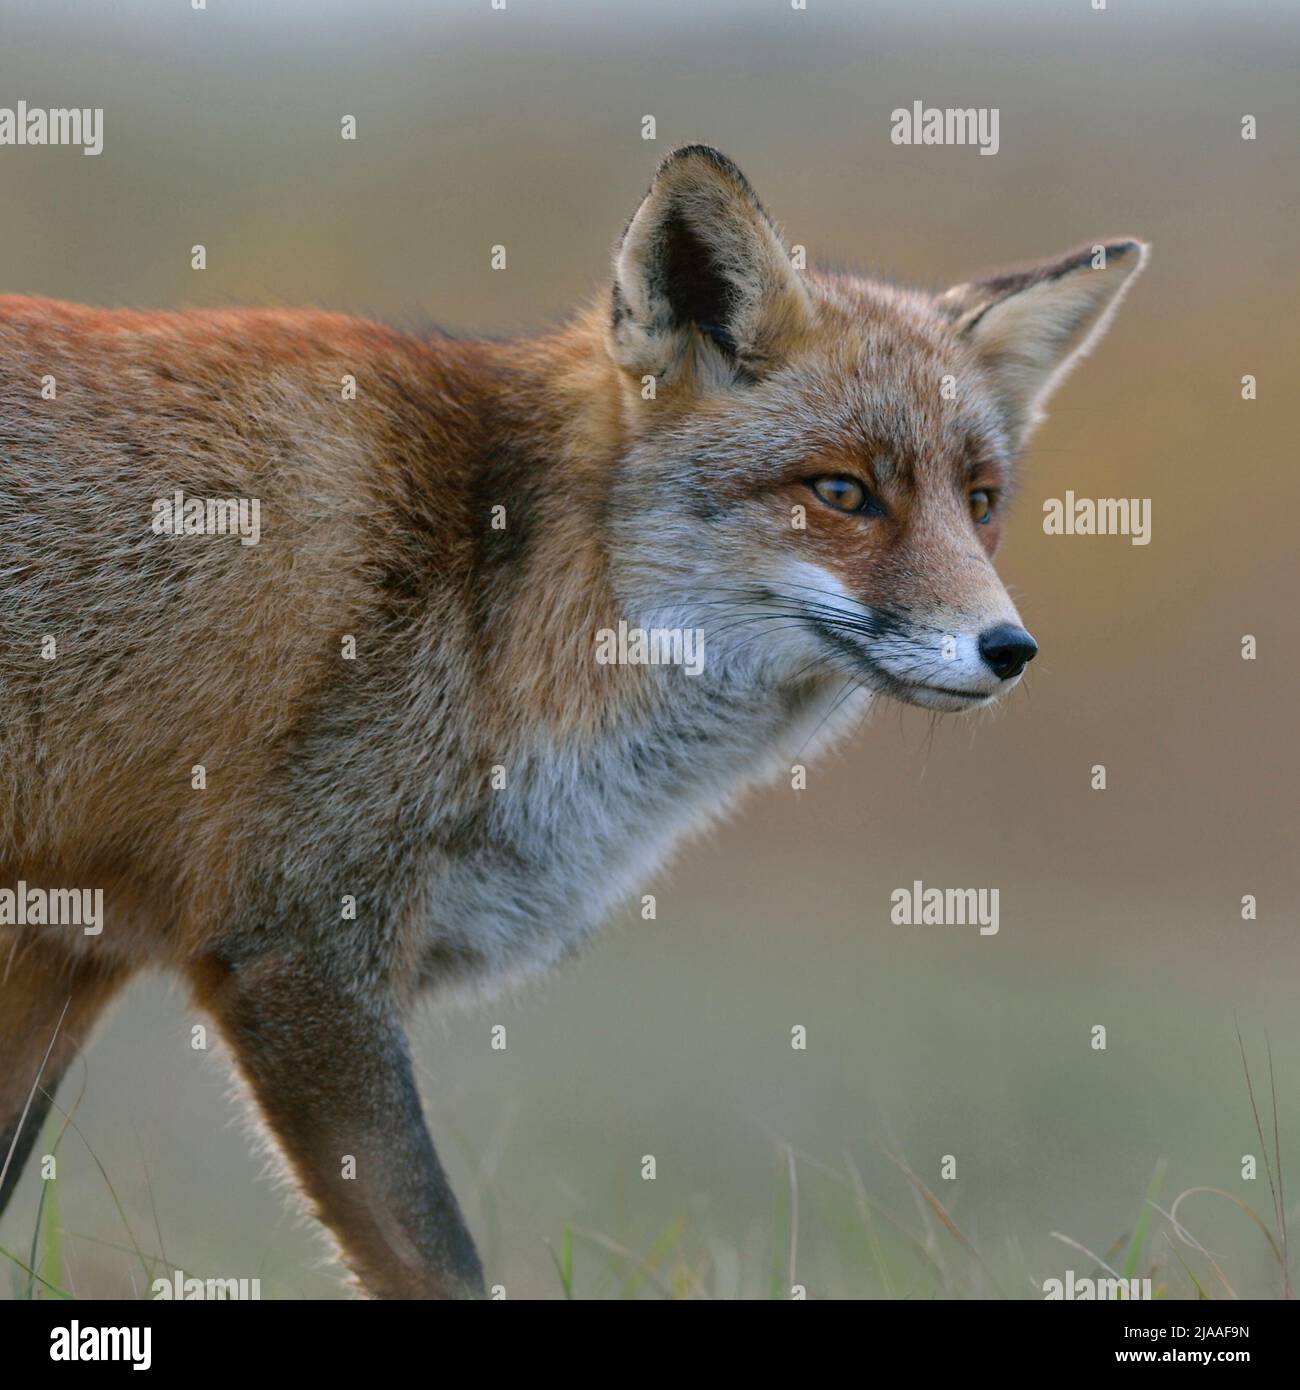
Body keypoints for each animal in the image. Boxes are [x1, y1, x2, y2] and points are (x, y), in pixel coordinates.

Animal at [0, 146, 1145, 1295]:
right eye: (842, 492)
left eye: (981, 500)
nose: (1008, 648)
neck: (495, 606)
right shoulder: (301, 946)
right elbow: (442, 1263)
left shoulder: (69, 949)